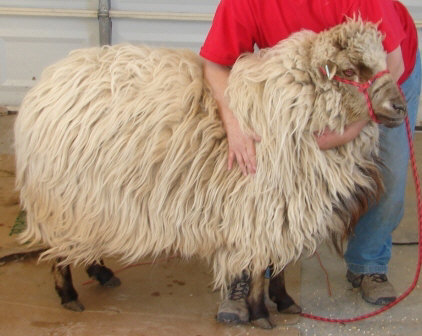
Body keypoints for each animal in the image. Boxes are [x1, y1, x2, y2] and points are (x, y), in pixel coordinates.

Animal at [14, 19, 408, 330]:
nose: (401, 107)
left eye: (383, 60)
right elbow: (262, 263)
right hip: (59, 197)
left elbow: (277, 262)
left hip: (84, 199)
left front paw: (284, 301)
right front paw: (260, 313)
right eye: (350, 71)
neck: (293, 108)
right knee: (55, 247)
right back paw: (69, 293)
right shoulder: (262, 203)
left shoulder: (280, 204)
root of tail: (42, 87)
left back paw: (101, 272)